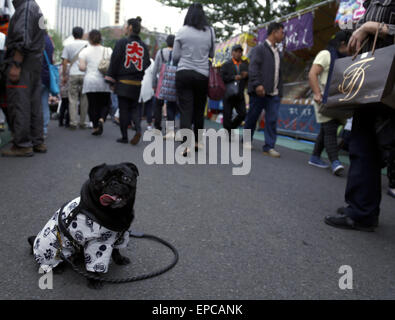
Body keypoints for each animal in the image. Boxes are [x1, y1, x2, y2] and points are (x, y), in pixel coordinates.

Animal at [28, 162, 139, 290]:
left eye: (126, 178)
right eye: (102, 181)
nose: (114, 183)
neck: (118, 213)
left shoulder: (120, 236)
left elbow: (116, 250)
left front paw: (120, 260)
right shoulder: (96, 244)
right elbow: (93, 266)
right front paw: (94, 280)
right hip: (51, 249)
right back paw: (57, 268)